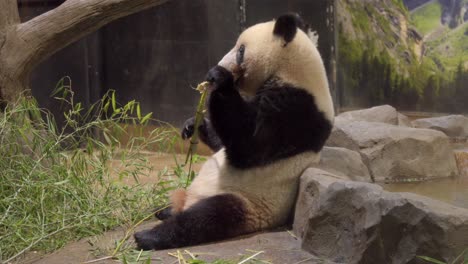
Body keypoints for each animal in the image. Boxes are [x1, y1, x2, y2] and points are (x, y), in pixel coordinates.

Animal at [133, 12, 334, 252]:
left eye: (240, 51)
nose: (220, 64)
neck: (294, 73)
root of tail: (189, 201)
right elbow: (225, 142)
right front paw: (194, 124)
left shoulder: (294, 111)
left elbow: (248, 145)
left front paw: (219, 78)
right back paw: (164, 210)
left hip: (247, 201)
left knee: (207, 217)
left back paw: (148, 236)